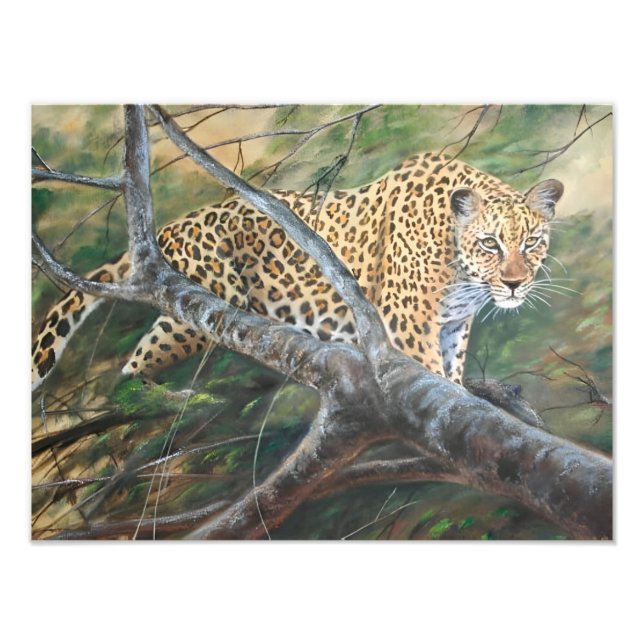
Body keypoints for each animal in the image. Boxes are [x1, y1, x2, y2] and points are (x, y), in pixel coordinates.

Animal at [31, 152, 564, 391]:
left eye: (531, 243)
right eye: (490, 243)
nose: (514, 284)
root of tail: (174, 224)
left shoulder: (453, 324)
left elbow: (451, 371)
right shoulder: (407, 322)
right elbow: (430, 371)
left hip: (179, 323)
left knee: (138, 357)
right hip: (205, 306)